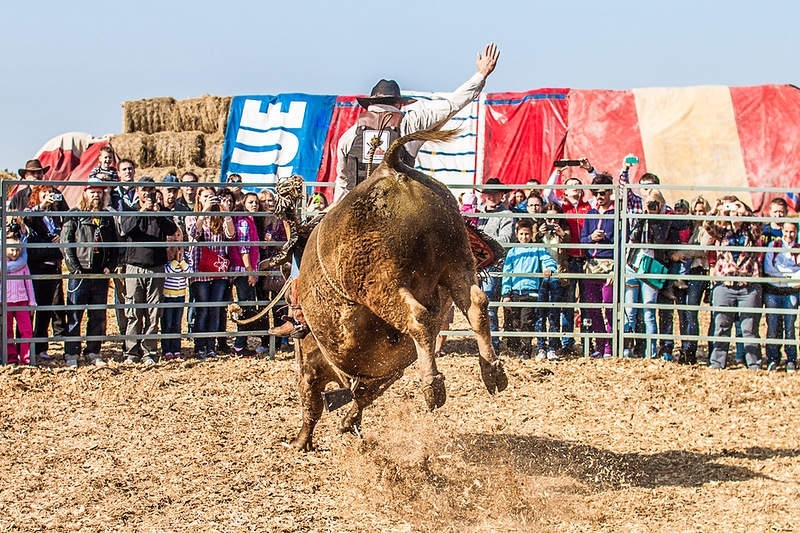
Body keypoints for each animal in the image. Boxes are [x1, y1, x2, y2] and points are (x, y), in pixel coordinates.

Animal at [244, 120, 510, 448]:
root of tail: (389, 168)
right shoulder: (389, 370)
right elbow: (365, 394)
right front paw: (348, 422)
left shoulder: (310, 363)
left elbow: (314, 402)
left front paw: (302, 440)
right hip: (457, 262)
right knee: (476, 305)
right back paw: (492, 370)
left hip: (380, 283)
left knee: (418, 318)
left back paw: (433, 386)